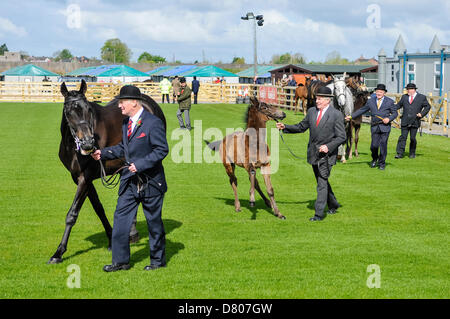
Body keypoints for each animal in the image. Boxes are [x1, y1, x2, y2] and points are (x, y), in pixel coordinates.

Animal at [48, 80, 167, 264]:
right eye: (69, 112)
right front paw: (111, 238)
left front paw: (58, 252)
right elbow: (98, 208)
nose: (88, 144)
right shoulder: (80, 178)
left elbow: (72, 214)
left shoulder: (85, 177)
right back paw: (131, 233)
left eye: (89, 109)